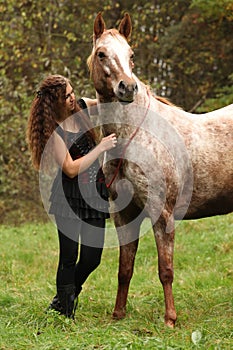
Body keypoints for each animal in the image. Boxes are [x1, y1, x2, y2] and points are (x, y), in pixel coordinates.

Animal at [88, 11, 233, 328]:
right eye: (102, 53)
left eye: (131, 55)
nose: (127, 88)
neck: (136, 137)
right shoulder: (124, 214)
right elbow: (125, 268)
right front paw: (118, 314)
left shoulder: (161, 213)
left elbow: (165, 269)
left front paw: (170, 319)